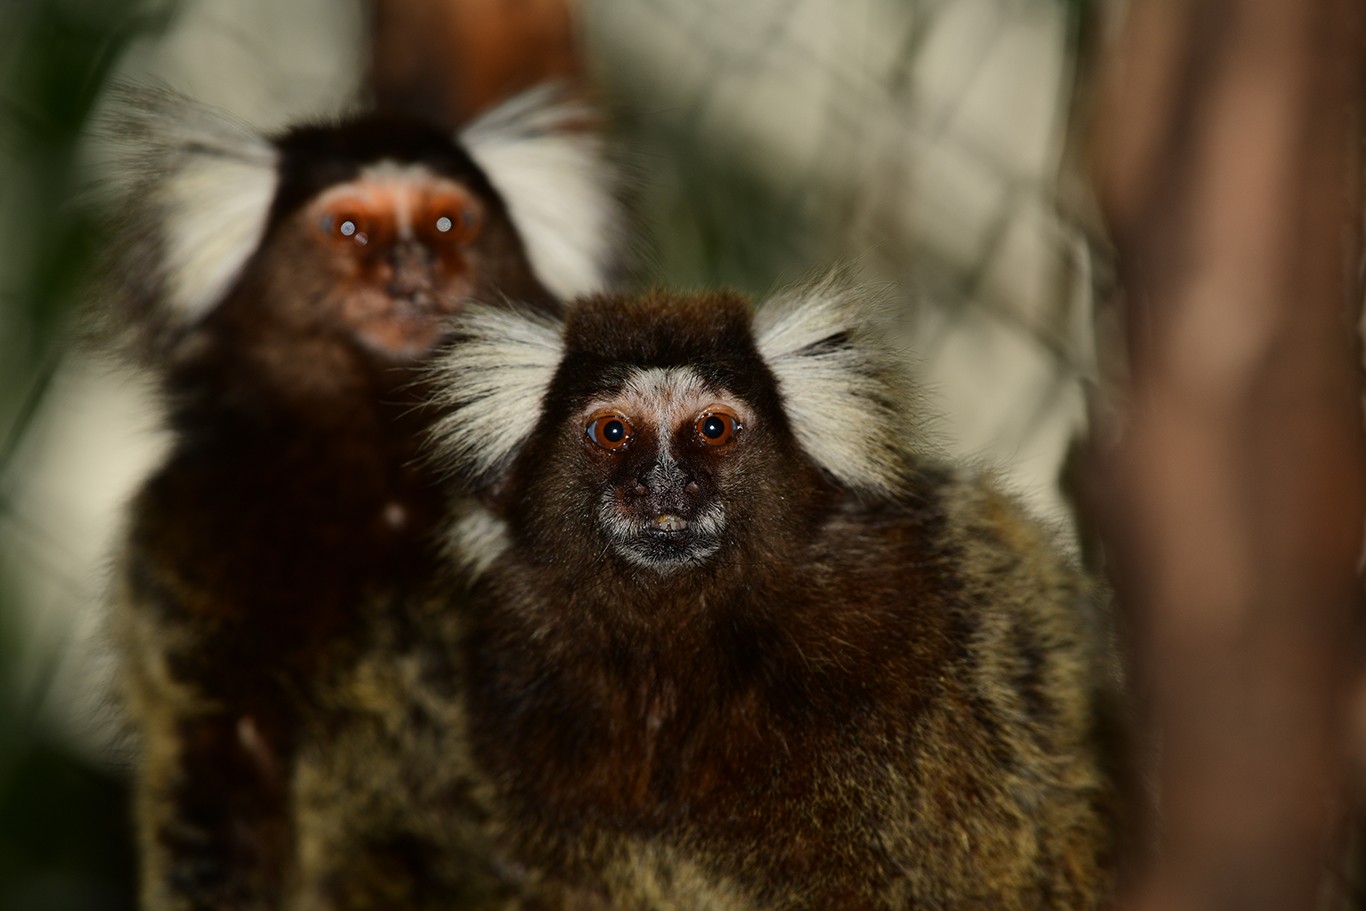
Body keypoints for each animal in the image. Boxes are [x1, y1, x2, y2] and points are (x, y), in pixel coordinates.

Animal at [96, 83, 625, 906]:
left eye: (447, 223)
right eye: (348, 228)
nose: (411, 267)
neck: (384, 470)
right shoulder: (185, 538)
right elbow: (220, 767)